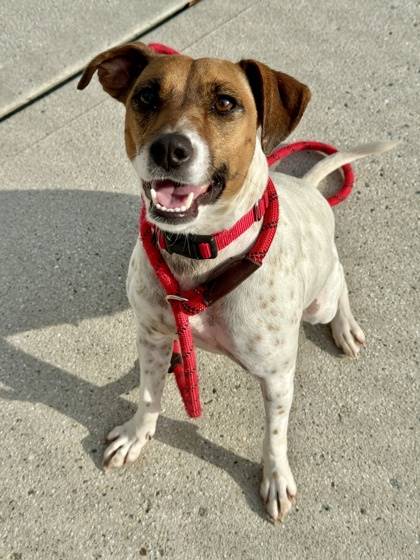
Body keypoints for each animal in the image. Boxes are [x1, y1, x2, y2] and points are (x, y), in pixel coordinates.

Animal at [76, 41, 394, 524]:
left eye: (226, 103)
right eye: (146, 96)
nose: (169, 149)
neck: (200, 252)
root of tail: (308, 187)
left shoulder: (278, 376)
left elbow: (275, 434)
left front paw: (276, 478)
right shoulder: (152, 336)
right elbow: (149, 395)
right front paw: (136, 435)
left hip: (320, 299)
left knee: (338, 280)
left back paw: (345, 326)